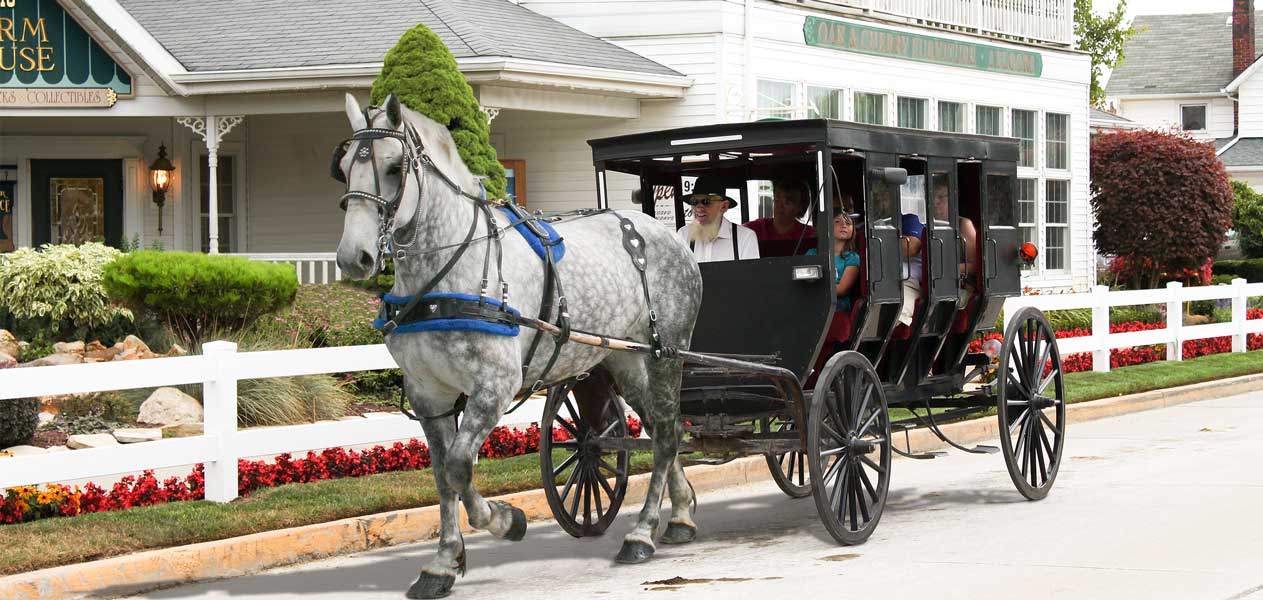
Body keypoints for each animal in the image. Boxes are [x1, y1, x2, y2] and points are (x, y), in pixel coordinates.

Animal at [335, 91, 707, 598]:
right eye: (343, 167)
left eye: (394, 167)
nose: (353, 257)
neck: (452, 269)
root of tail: (667, 234)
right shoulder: (429, 393)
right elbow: (443, 476)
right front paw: (443, 563)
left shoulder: (494, 385)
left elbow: (459, 467)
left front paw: (505, 520)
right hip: (625, 360)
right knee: (659, 427)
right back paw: (682, 513)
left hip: (667, 353)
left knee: (668, 434)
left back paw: (642, 533)